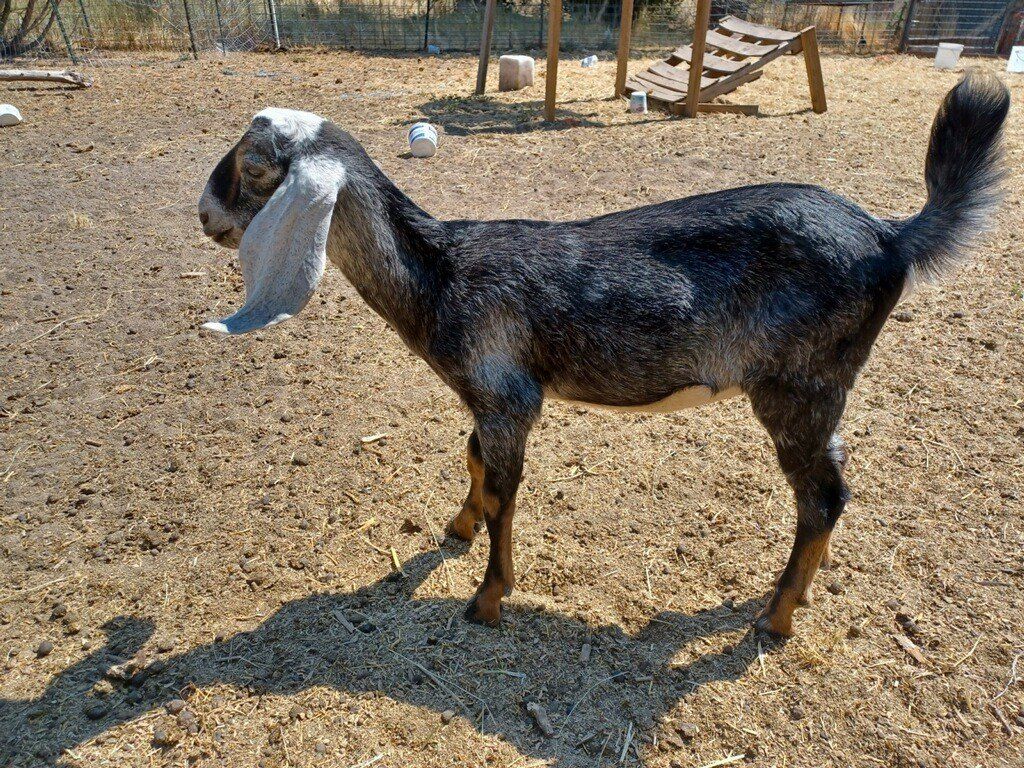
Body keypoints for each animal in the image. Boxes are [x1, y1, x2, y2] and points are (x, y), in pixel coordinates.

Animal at [197, 75, 1009, 637]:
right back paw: (800, 592)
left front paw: (487, 598)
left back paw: (775, 619)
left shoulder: (509, 396)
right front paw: (457, 529)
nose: (204, 215)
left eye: (255, 162)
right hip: (824, 388)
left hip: (798, 385)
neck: (441, 274)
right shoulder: (488, 396)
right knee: (832, 494)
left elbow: (505, 491)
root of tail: (891, 236)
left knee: (821, 497)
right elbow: (473, 462)